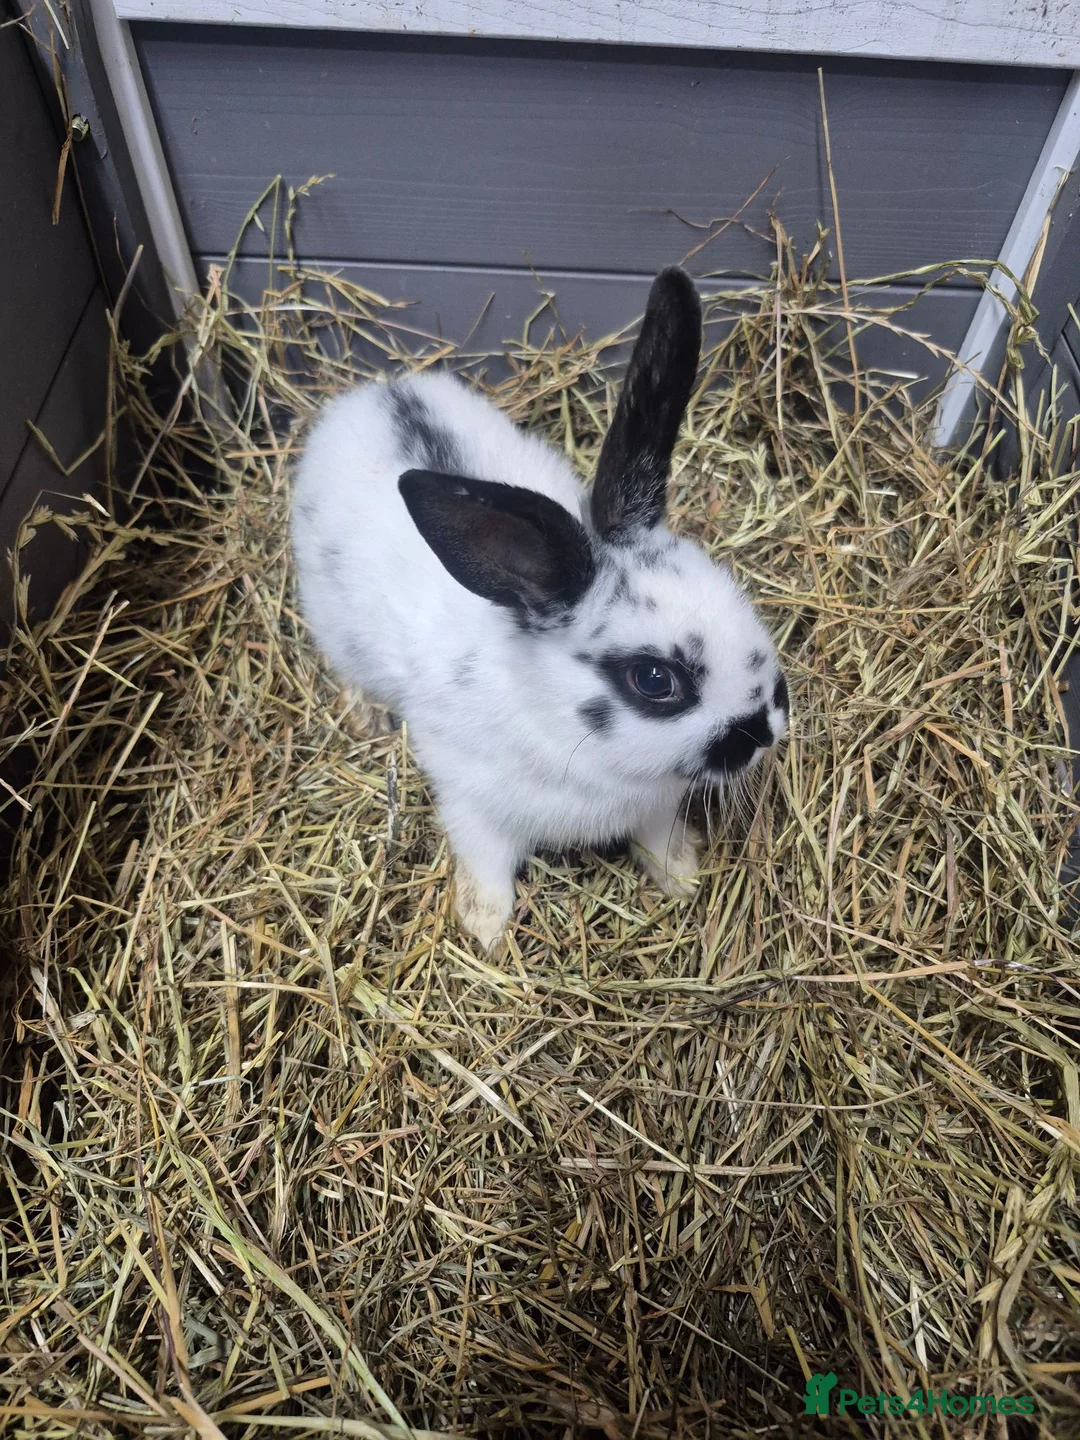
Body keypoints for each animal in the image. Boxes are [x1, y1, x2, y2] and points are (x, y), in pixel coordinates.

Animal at [290, 267, 788, 947]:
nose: (765, 730)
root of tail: (374, 393)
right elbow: (485, 864)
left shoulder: (656, 807)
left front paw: (683, 878)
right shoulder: (471, 805)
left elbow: (658, 842)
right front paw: (485, 929)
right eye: (655, 680)